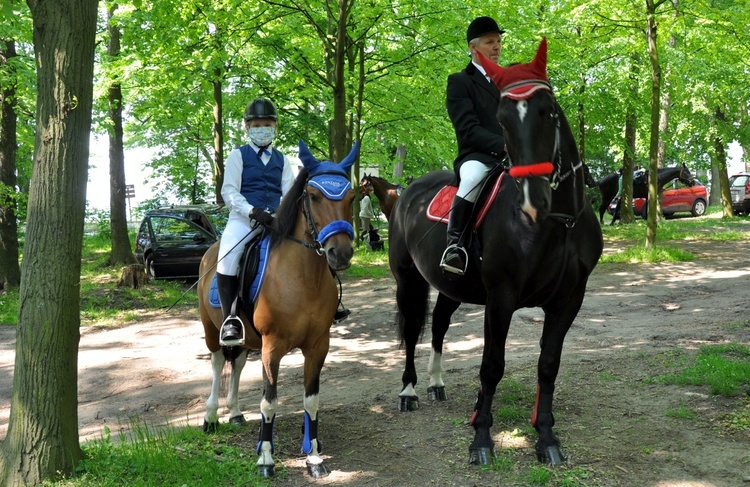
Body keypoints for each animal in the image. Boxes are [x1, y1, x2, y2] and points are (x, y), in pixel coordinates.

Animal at [198, 139, 360, 478]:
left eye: (351, 197)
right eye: (313, 196)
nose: (340, 253)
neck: (303, 278)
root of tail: (210, 252)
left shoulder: (318, 346)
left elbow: (311, 401)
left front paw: (314, 458)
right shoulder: (272, 347)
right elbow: (269, 402)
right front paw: (266, 459)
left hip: (249, 339)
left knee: (238, 364)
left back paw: (234, 413)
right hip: (210, 329)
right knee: (218, 363)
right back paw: (210, 418)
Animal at [388, 37, 604, 466]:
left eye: (548, 111)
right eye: (502, 121)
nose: (535, 200)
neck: (559, 223)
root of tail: (407, 193)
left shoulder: (569, 298)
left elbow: (548, 365)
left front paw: (546, 437)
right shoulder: (501, 296)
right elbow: (491, 366)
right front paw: (482, 440)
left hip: (452, 287)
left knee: (438, 325)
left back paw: (436, 384)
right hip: (407, 278)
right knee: (413, 326)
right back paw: (410, 391)